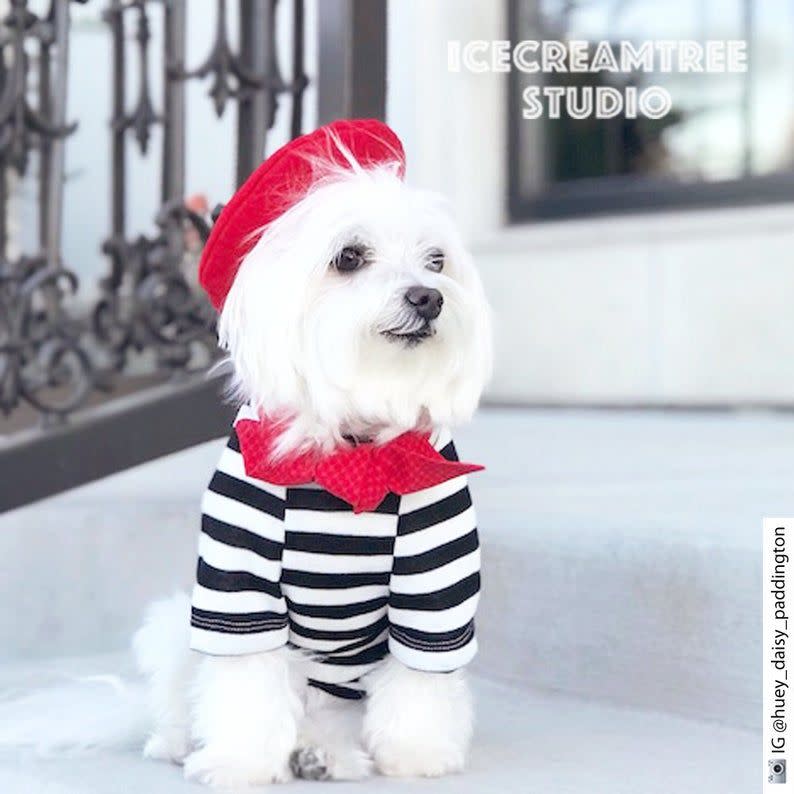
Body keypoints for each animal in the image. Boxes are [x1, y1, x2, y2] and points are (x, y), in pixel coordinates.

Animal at [132, 120, 488, 784]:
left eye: (437, 260)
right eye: (349, 257)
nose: (429, 297)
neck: (354, 452)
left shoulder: (436, 580)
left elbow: (421, 678)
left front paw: (418, 751)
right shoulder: (237, 584)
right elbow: (245, 683)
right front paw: (239, 760)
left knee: (330, 721)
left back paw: (324, 753)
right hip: (177, 628)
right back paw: (180, 742)